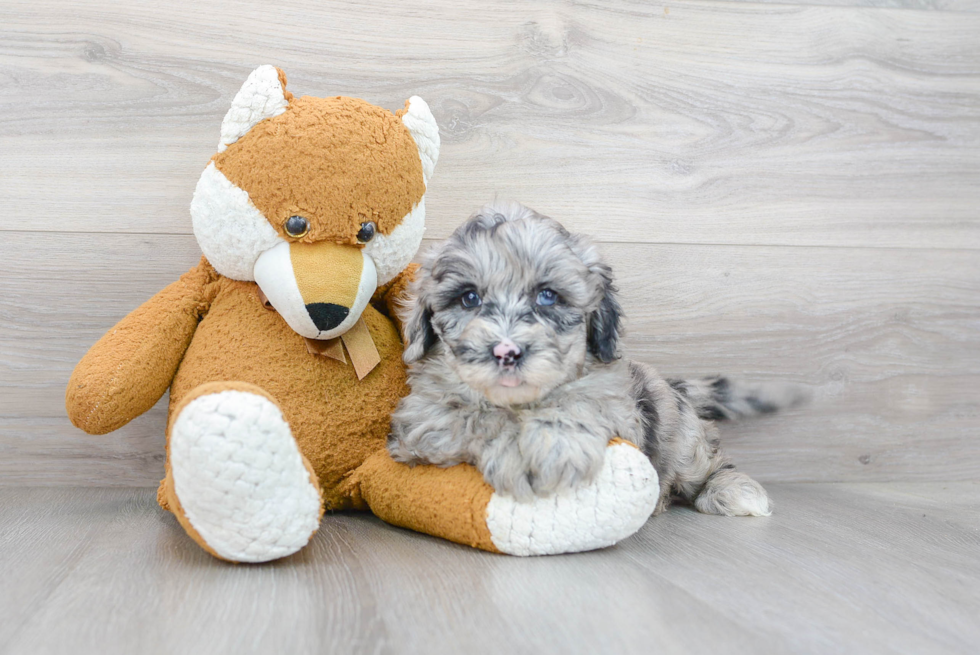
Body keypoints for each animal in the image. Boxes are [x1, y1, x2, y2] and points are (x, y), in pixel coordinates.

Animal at [386, 201, 800, 516]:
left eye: (548, 296)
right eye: (469, 298)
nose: (506, 351)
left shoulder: (620, 409)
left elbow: (579, 403)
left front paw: (555, 446)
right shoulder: (421, 423)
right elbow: (472, 416)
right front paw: (512, 453)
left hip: (680, 435)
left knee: (707, 463)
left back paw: (734, 490)